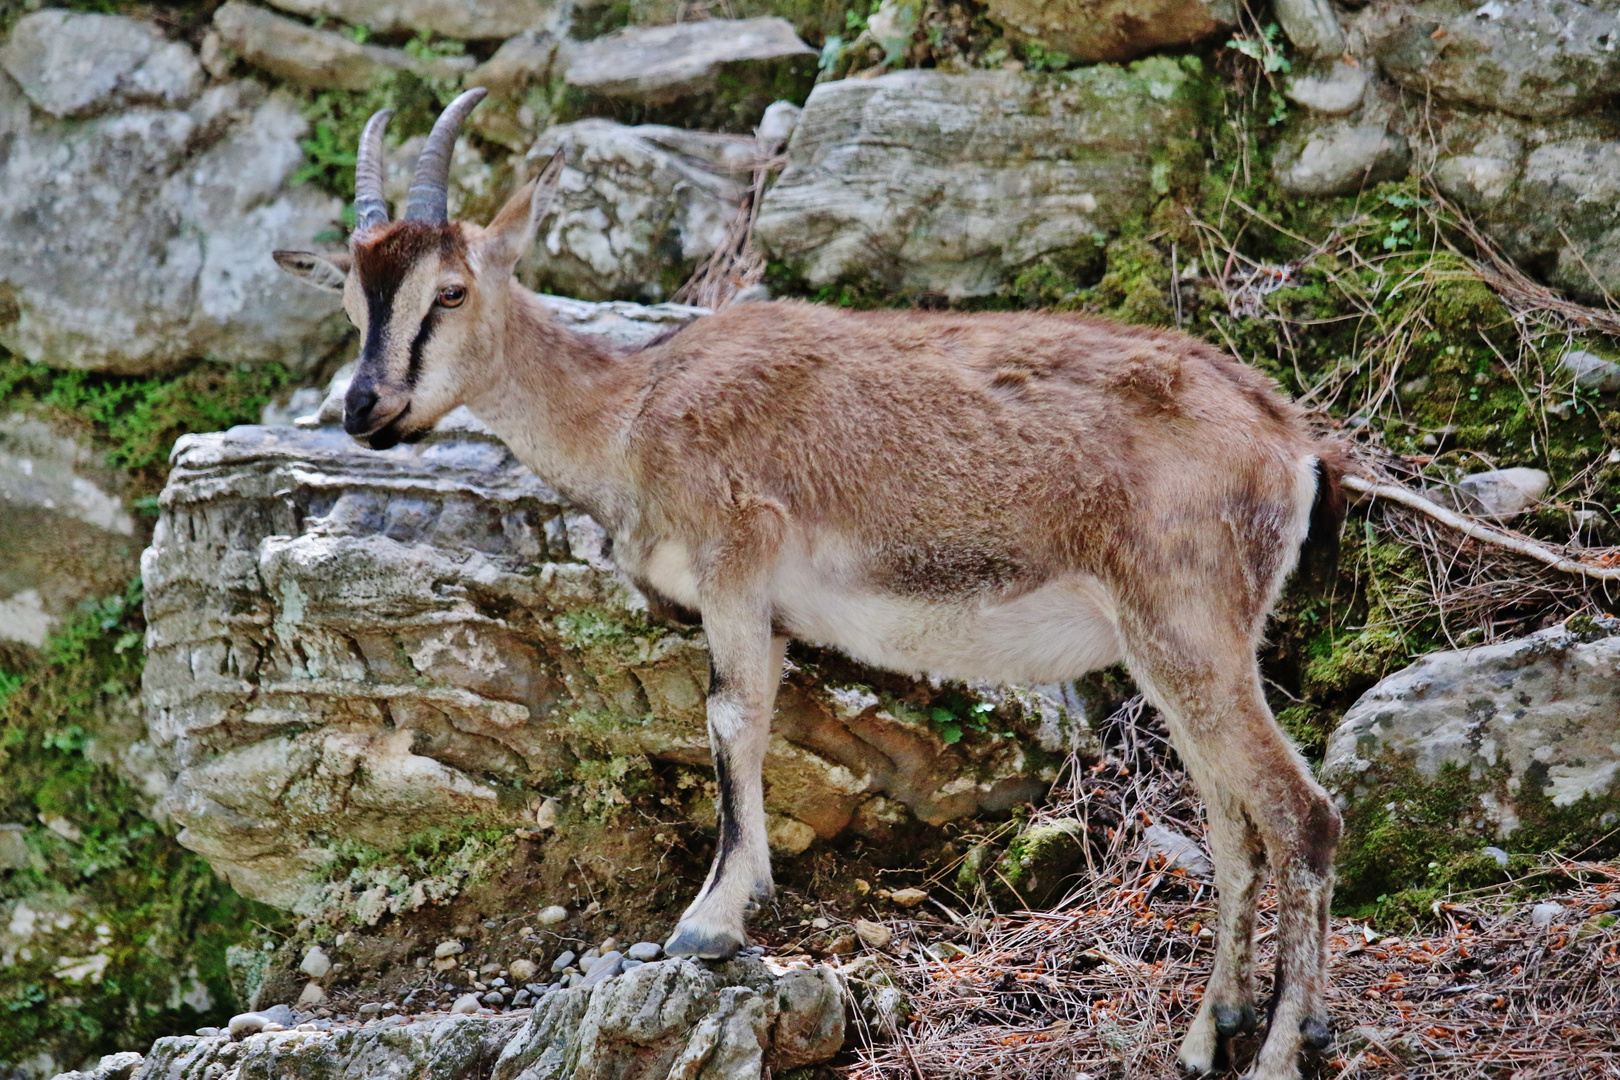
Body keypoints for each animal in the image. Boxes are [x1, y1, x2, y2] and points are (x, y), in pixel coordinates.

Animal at [278, 93, 1354, 1080]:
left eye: (451, 292)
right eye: (354, 303)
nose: (366, 409)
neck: (631, 408)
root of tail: (1289, 446)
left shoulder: (735, 560)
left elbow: (728, 717)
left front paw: (708, 924)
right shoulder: (772, 612)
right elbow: (748, 720)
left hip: (1190, 625)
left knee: (1301, 814)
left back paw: (1276, 1051)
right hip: (1170, 652)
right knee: (1234, 824)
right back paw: (1208, 1033)